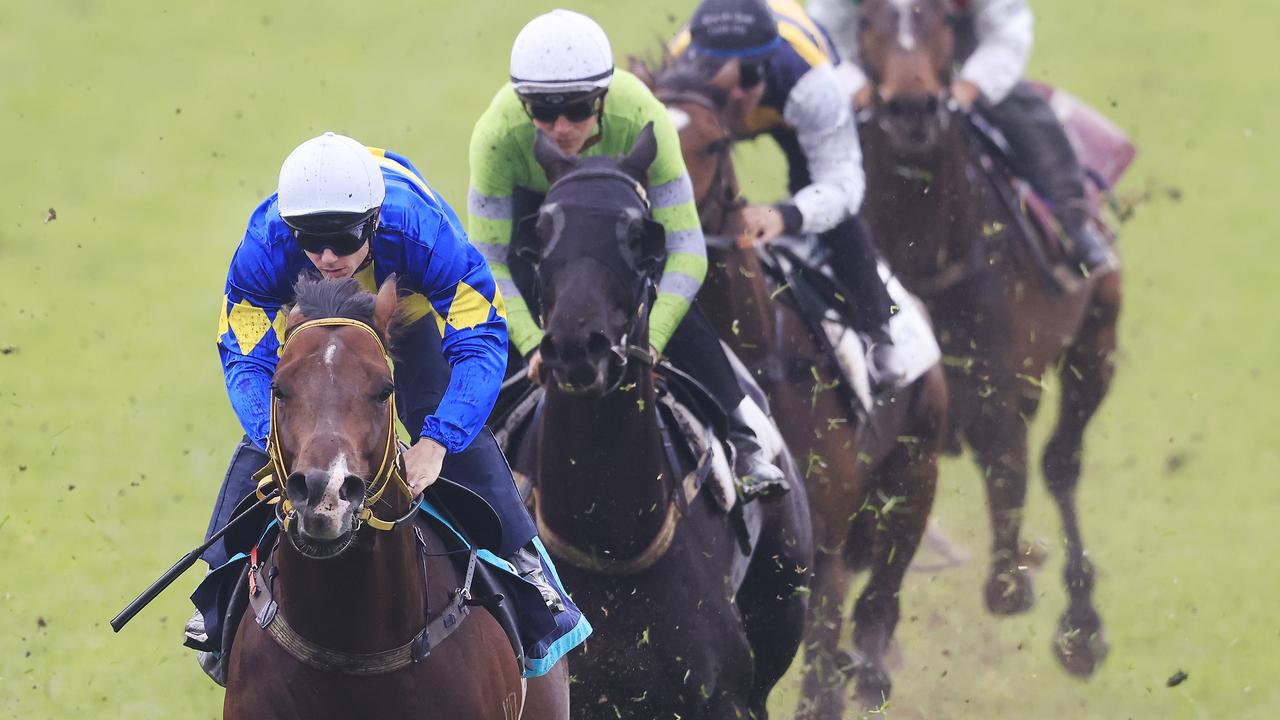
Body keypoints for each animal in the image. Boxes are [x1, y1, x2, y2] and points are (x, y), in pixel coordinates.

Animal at [855, 0, 1126, 676]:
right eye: (867, 19)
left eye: (944, 19)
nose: (912, 106)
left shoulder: (999, 386)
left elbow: (1007, 539)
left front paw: (1022, 572)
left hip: (1097, 343)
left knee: (1061, 462)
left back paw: (1081, 625)